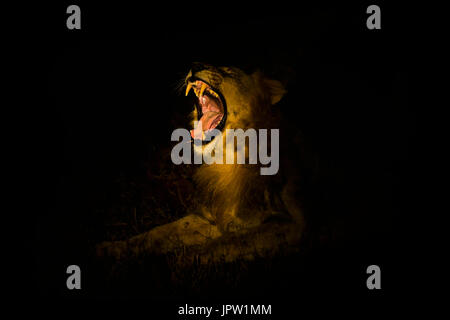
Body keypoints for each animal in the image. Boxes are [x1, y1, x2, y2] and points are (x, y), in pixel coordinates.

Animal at [96, 63, 306, 264]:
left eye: (230, 72)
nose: (195, 66)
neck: (227, 157)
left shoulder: (292, 225)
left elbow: (229, 242)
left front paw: (181, 261)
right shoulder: (213, 216)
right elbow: (159, 233)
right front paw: (111, 249)